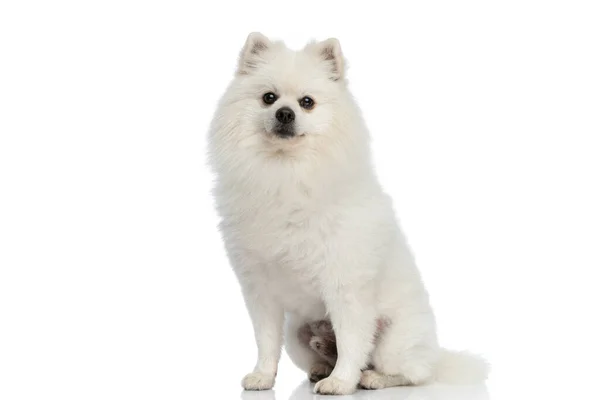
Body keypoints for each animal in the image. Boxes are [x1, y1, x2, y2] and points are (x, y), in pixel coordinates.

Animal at [206, 32, 488, 396]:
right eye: (269, 98)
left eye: (307, 102)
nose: (284, 113)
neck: (286, 173)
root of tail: (437, 355)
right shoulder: (260, 289)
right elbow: (266, 341)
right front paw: (263, 376)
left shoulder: (345, 285)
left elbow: (352, 341)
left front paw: (341, 382)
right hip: (296, 334)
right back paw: (320, 368)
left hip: (394, 342)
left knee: (412, 373)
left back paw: (371, 378)